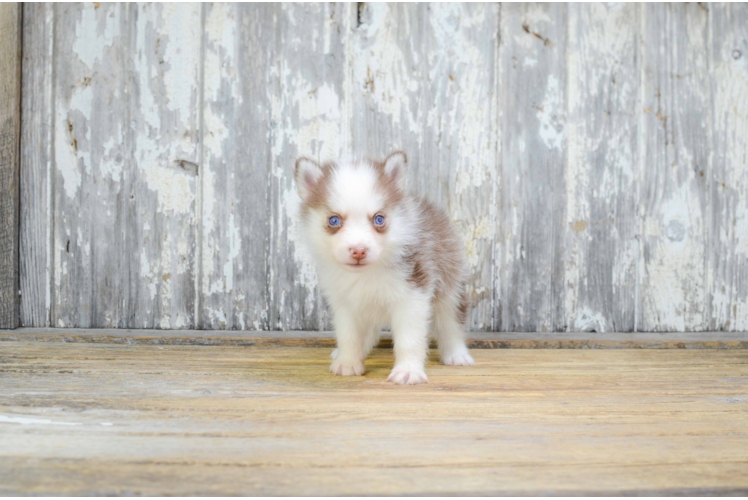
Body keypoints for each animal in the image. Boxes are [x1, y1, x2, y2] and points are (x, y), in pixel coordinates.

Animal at [294, 150, 474, 384]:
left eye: (379, 219)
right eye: (334, 220)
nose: (358, 250)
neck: (367, 274)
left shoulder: (413, 295)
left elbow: (409, 339)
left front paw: (408, 371)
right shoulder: (345, 302)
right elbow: (348, 335)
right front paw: (348, 362)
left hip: (450, 283)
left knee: (451, 323)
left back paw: (457, 354)